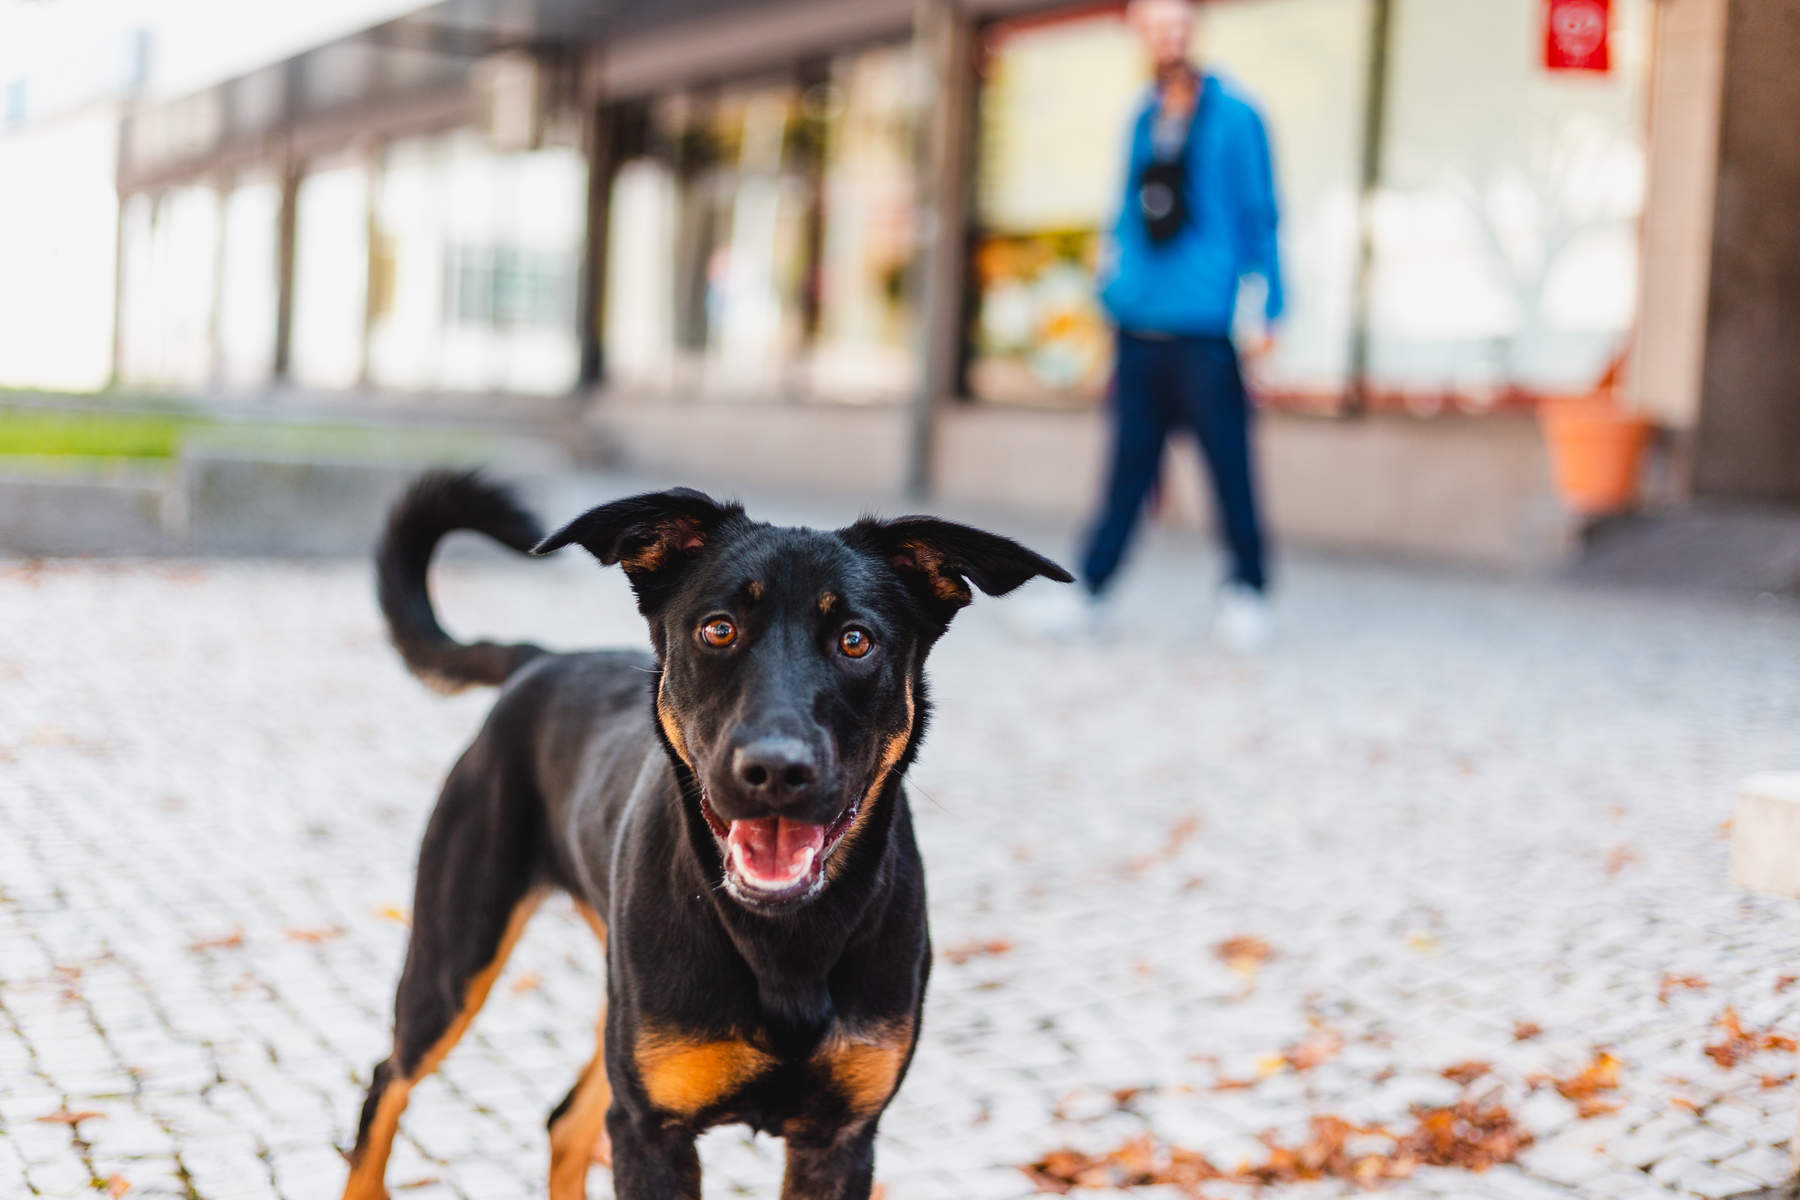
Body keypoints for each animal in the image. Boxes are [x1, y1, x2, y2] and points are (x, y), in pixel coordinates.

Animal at [338, 474, 1065, 1194]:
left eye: (856, 640)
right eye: (719, 629)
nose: (776, 769)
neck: (785, 939)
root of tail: (538, 661)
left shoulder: (842, 1138)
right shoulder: (652, 1128)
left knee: (564, 1121)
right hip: (456, 956)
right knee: (387, 1083)